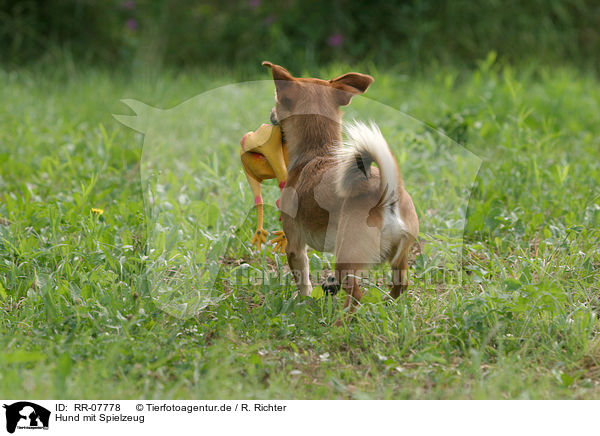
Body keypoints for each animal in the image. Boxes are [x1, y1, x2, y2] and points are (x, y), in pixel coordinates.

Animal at [264, 61, 420, 308]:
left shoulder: (295, 247)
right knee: (400, 284)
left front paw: (304, 302)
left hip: (346, 257)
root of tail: (386, 194)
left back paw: (342, 318)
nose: (271, 114)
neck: (318, 150)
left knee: (355, 294)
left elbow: (303, 280)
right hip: (399, 256)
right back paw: (386, 304)